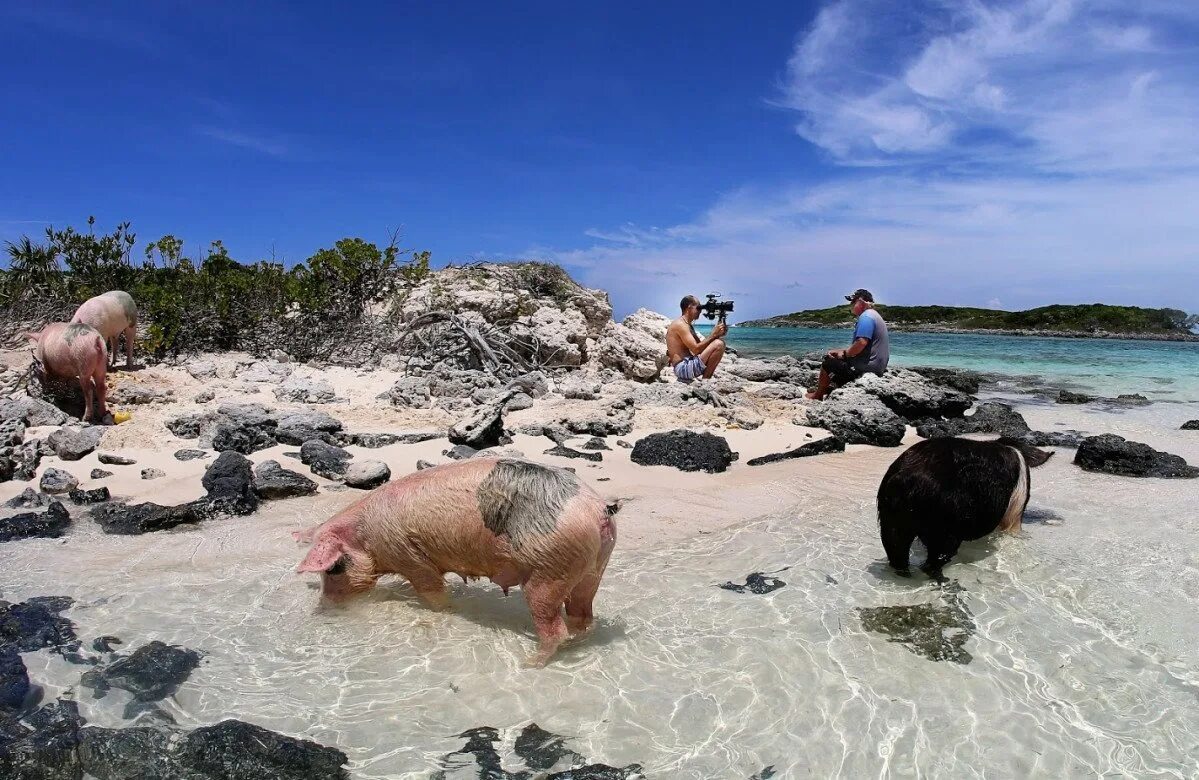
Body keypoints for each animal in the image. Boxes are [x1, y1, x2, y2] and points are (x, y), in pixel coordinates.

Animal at [297, 457, 618, 666]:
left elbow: (431, 591)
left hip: (549, 569)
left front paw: (447, 610)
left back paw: (529, 663)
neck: (366, 536)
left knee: (553, 626)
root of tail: (597, 509)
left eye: (334, 567)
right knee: (582, 615)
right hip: (592, 569)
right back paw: (578, 641)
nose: (325, 606)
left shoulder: (411, 556)